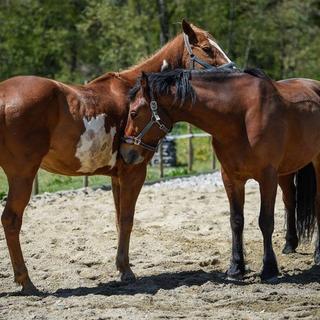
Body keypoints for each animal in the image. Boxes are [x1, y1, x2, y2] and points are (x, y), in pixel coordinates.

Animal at [0, 20, 232, 296]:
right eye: (207, 48)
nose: (234, 70)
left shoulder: (116, 176)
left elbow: (118, 219)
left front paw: (122, 267)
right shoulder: (134, 171)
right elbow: (127, 219)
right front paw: (127, 271)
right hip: (22, 174)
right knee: (11, 220)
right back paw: (26, 281)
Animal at [121, 67, 320, 280]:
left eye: (133, 113)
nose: (125, 152)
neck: (240, 116)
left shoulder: (267, 177)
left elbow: (265, 221)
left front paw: (269, 268)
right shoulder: (231, 178)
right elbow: (236, 221)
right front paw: (236, 267)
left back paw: (317, 254)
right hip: (286, 170)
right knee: (290, 200)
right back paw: (290, 244)